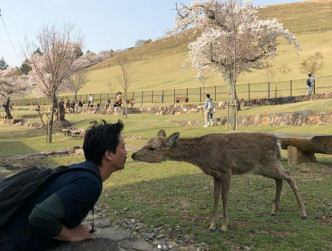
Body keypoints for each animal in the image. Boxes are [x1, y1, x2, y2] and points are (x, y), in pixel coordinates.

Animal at [131, 130, 308, 232]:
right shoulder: (215, 174)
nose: (133, 155)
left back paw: (303, 213)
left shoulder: (226, 170)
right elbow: (215, 196)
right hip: (265, 167)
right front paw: (212, 226)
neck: (204, 156)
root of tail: (278, 142)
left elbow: (224, 197)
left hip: (269, 163)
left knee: (289, 175)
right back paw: (274, 210)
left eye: (151, 148)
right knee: (280, 179)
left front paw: (224, 227)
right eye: (146, 143)